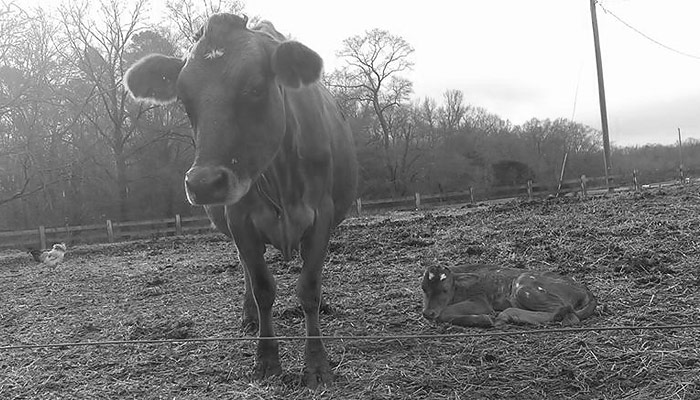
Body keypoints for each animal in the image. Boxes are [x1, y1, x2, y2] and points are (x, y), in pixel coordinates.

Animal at [121, 13, 358, 388]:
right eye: (184, 99)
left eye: (256, 88)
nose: (203, 183)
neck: (279, 176)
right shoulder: (241, 221)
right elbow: (262, 288)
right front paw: (267, 361)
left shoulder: (321, 215)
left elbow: (309, 287)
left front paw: (317, 365)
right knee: (247, 272)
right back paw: (249, 316)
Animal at [422, 264, 596, 326]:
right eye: (423, 288)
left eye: (445, 290)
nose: (427, 313)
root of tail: (584, 289)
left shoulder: (481, 300)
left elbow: (443, 313)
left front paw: (484, 319)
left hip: (523, 286)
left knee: (562, 310)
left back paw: (507, 315)